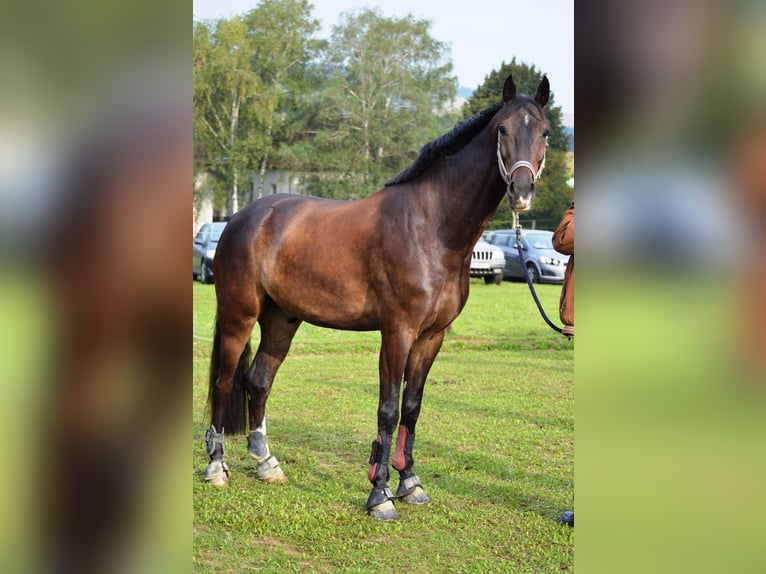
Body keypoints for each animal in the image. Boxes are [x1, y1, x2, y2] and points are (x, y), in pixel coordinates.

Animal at [203, 75, 551, 520]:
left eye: (544, 132)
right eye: (502, 130)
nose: (522, 190)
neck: (431, 227)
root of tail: (243, 218)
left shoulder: (431, 337)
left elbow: (412, 408)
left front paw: (410, 484)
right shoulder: (397, 332)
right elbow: (388, 409)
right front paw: (380, 495)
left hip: (282, 320)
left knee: (259, 381)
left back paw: (267, 464)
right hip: (239, 316)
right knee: (224, 381)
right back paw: (216, 468)